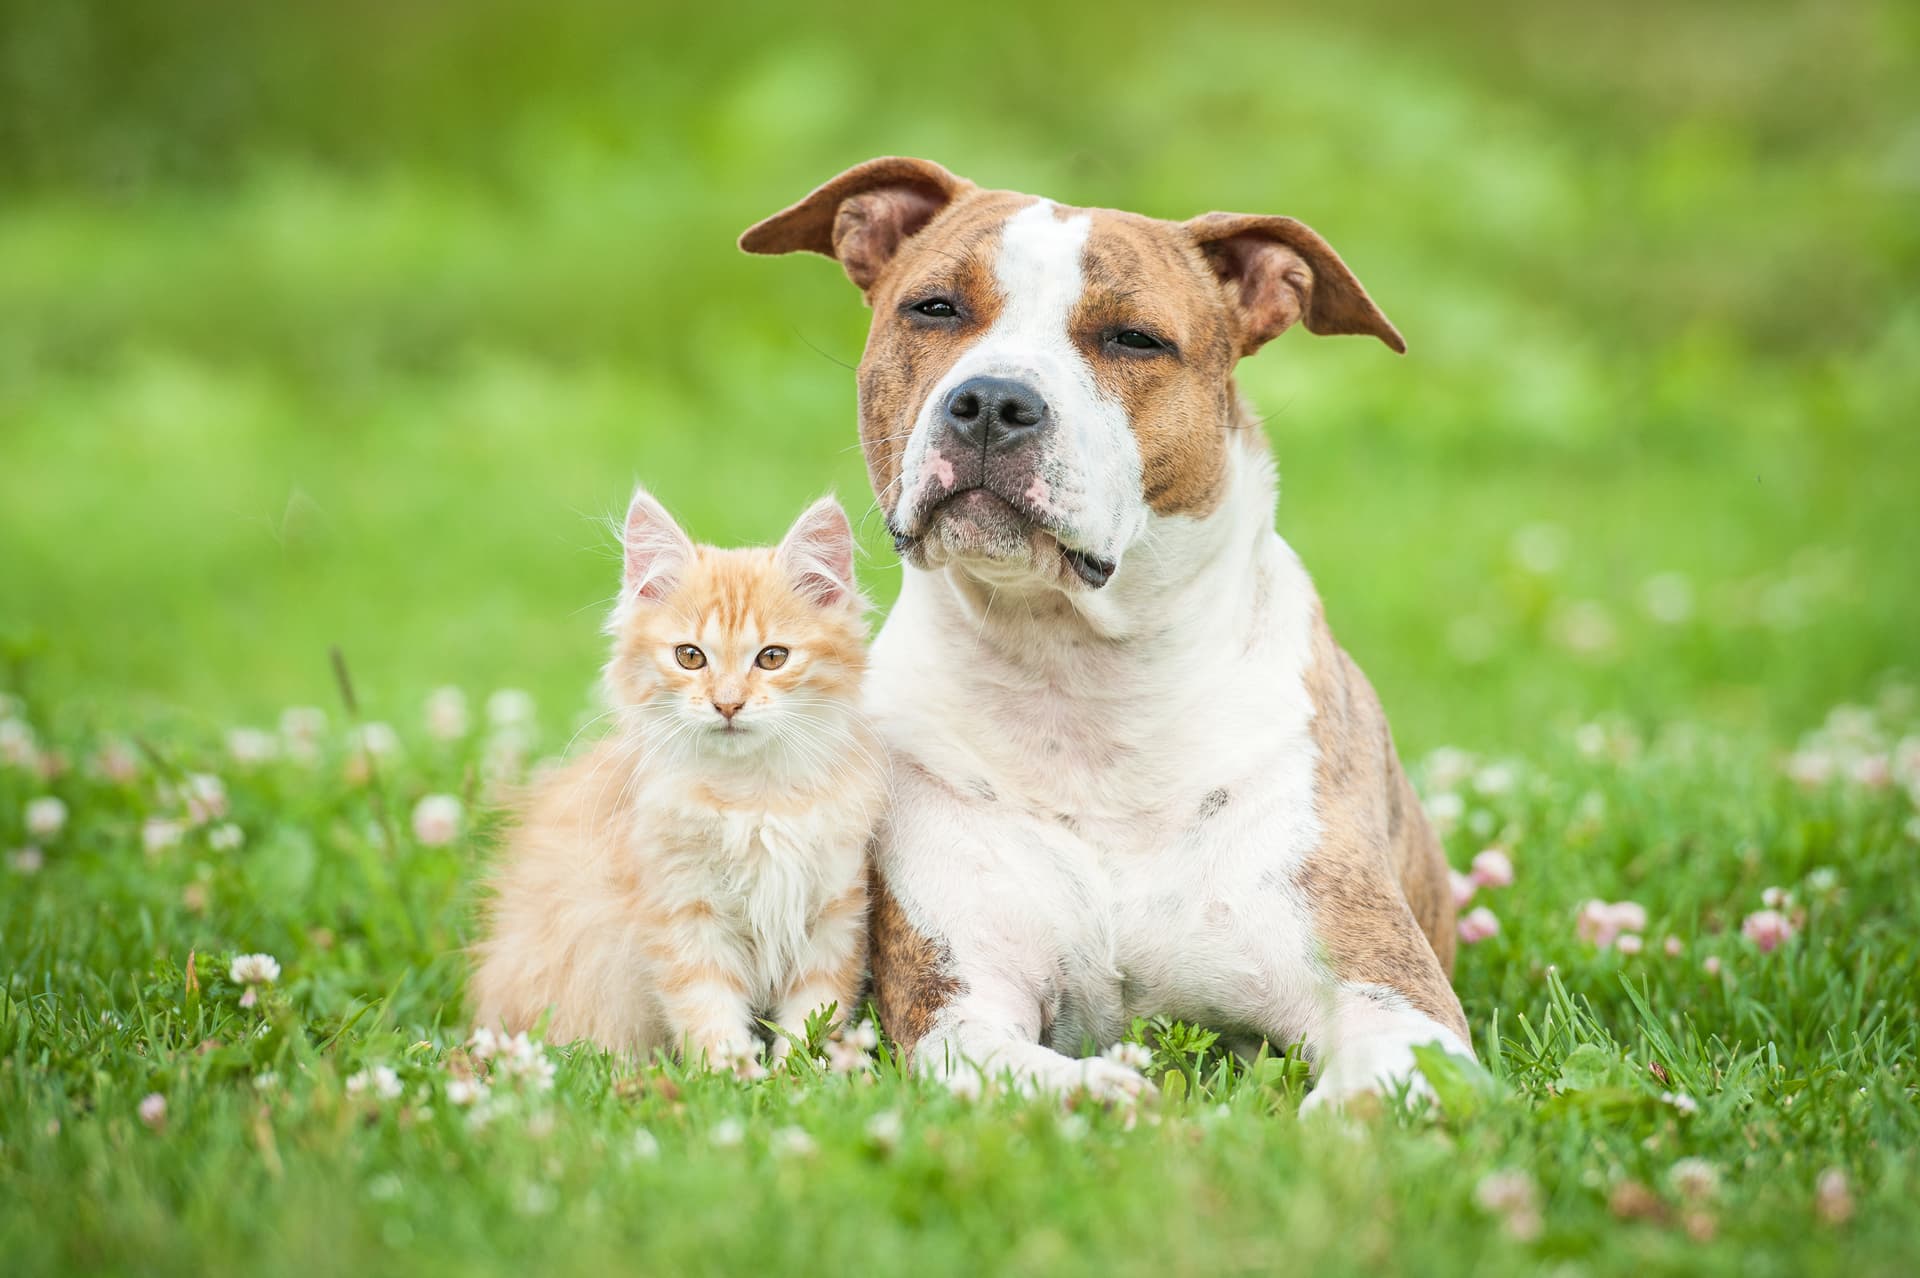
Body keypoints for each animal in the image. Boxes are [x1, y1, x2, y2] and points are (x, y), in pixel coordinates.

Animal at [468, 483, 887, 1059]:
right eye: (690, 657)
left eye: (772, 658)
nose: (727, 704)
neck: (752, 798)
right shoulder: (683, 913)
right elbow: (707, 1011)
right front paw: (734, 1071)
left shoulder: (834, 911)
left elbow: (812, 1014)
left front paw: (799, 1070)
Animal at [741, 156, 1459, 1105]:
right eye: (935, 308)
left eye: (1134, 340)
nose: (992, 401)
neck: (1078, 681)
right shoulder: (957, 1007)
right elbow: (1034, 1074)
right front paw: (1122, 1100)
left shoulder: (1396, 1000)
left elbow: (1377, 1092)